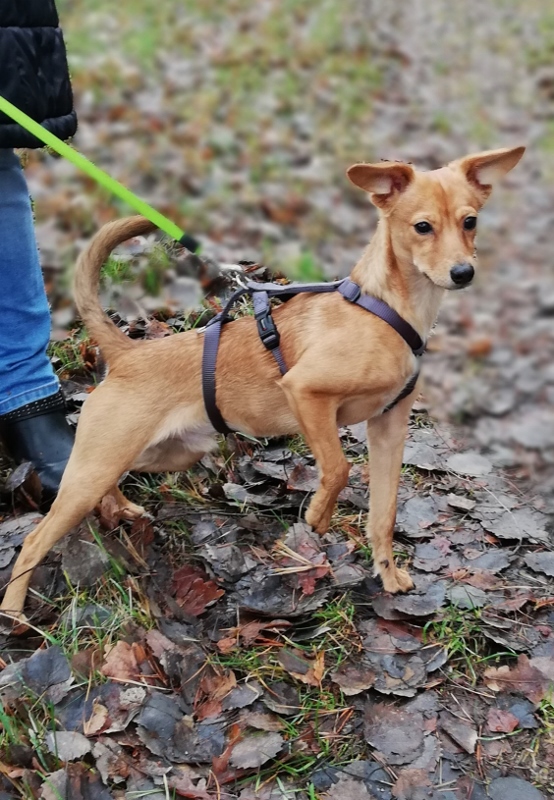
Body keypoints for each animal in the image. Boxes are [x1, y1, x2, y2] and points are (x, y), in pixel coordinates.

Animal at [2, 145, 524, 620]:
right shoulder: (307, 393)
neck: (386, 308)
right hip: (100, 466)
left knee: (107, 485)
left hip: (158, 453)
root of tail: (128, 352)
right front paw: (317, 516)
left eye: (470, 221)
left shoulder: (389, 428)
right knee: (36, 538)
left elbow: (384, 513)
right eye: (422, 227)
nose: (463, 273)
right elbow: (338, 469)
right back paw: (13, 610)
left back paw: (120, 509)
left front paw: (388, 574)